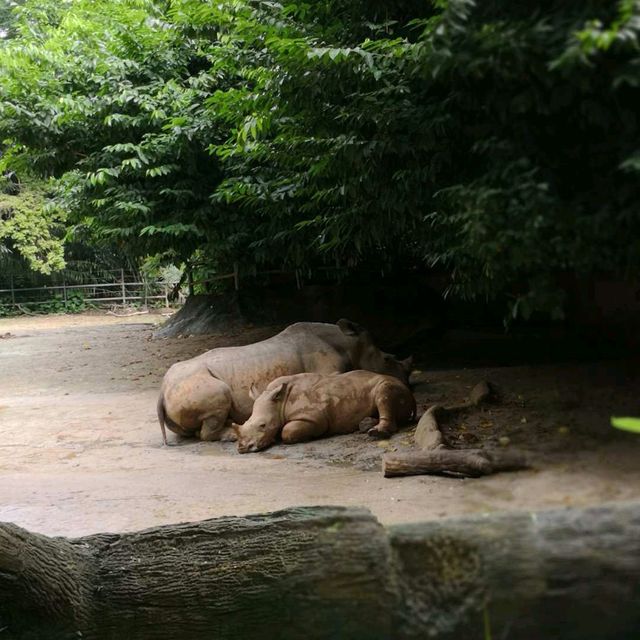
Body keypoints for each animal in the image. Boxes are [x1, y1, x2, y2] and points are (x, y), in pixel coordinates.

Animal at [158, 320, 412, 444]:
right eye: (387, 359)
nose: (408, 381)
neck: (348, 342)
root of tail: (161, 391)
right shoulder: (328, 371)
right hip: (194, 384)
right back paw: (230, 436)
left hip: (180, 386)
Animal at [235, 370, 416, 456]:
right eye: (245, 423)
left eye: (263, 425)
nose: (243, 448)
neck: (279, 402)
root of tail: (412, 395)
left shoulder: (314, 418)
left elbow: (288, 431)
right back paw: (365, 426)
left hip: (391, 384)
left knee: (383, 392)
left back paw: (375, 433)